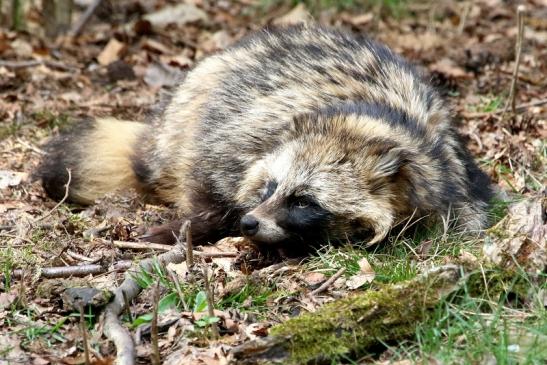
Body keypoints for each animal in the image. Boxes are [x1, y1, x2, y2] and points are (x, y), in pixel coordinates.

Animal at [37, 24, 492, 249]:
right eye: (270, 187)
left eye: (304, 201)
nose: (249, 221)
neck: (370, 126)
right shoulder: (246, 131)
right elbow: (207, 174)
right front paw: (192, 225)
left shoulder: (451, 185)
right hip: (194, 96)